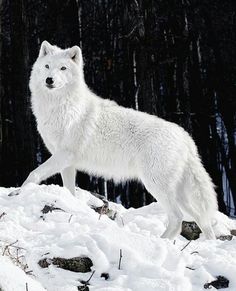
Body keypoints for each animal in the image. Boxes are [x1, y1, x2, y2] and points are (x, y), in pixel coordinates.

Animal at [20, 41, 219, 240]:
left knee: (177, 219)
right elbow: (69, 190)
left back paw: (160, 241)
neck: (60, 106)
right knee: (202, 219)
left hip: (155, 185)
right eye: (47, 66)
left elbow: (34, 174)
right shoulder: (67, 163)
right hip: (178, 194)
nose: (49, 80)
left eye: (63, 68)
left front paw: (20, 191)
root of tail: (186, 137)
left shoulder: (64, 155)